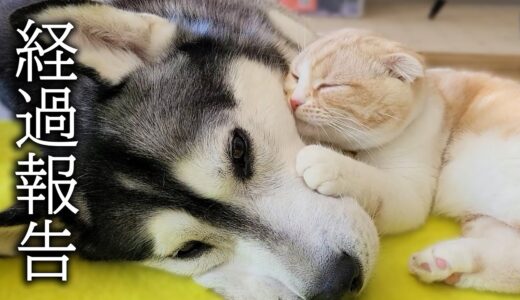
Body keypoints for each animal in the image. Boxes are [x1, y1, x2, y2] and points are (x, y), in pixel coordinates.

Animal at [286, 29, 520, 292]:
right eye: (295, 76)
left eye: (330, 86)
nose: (294, 101)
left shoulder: (411, 195)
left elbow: (372, 180)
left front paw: (328, 161)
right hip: (483, 218)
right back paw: (443, 262)